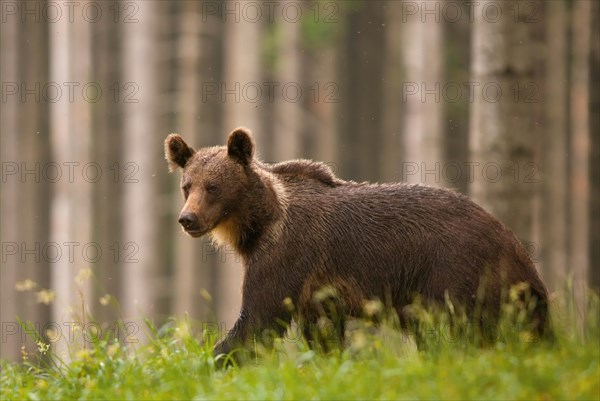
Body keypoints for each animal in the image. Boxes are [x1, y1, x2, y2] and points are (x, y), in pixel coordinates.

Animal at [163, 127, 548, 356]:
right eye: (187, 186)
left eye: (213, 187)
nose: (187, 219)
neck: (257, 226)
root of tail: (511, 240)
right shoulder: (317, 293)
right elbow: (322, 334)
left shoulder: (288, 254)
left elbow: (259, 316)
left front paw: (210, 359)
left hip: (454, 268)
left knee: (460, 328)